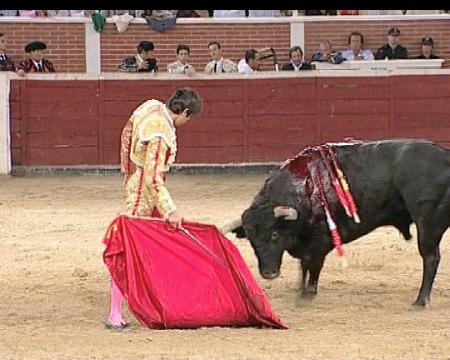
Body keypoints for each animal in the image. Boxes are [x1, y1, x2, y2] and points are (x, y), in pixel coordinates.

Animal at [225, 139, 450, 308]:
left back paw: (420, 301)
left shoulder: (320, 241)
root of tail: (445, 157)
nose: (268, 273)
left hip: (427, 224)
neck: (303, 191)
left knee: (430, 258)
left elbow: (312, 265)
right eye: (251, 240)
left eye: (274, 234)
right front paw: (300, 291)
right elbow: (303, 265)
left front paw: (308, 294)